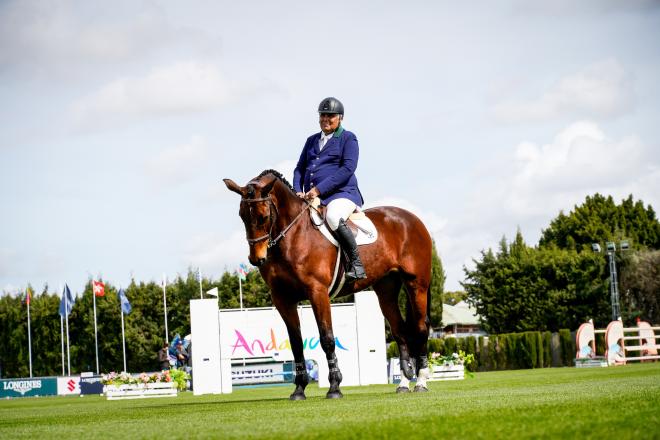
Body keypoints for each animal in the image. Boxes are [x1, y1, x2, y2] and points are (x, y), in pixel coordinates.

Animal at [224, 169, 436, 398]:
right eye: (242, 216)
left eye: (263, 217)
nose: (257, 259)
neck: (293, 236)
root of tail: (412, 218)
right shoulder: (283, 299)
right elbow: (296, 343)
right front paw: (299, 389)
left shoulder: (317, 292)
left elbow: (327, 338)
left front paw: (334, 386)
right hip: (386, 290)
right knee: (400, 331)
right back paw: (404, 383)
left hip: (416, 284)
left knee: (420, 328)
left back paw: (421, 382)